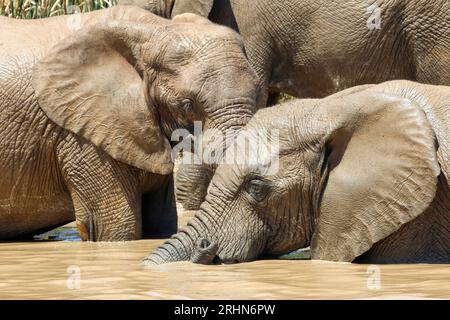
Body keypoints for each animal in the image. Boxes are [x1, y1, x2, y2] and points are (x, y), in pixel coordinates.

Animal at [0, 5, 258, 240]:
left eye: (258, 92)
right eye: (187, 104)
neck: (155, 29)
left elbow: (161, 224)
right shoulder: (83, 137)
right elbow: (118, 230)